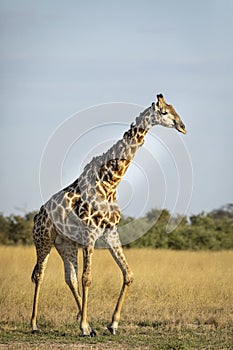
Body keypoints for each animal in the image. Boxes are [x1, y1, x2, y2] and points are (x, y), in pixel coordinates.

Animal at [30, 93, 186, 336]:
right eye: (164, 112)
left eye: (173, 109)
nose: (182, 126)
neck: (110, 184)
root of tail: (38, 214)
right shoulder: (90, 234)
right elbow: (88, 278)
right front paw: (84, 327)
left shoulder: (110, 232)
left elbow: (128, 274)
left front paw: (111, 324)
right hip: (43, 239)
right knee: (40, 274)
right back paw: (35, 324)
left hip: (65, 243)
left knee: (69, 278)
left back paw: (87, 322)